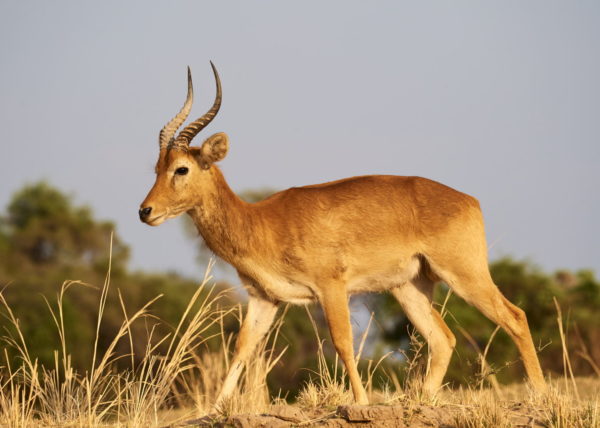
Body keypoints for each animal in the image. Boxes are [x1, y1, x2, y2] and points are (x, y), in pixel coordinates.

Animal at [141, 62, 548, 404]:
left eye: (181, 168)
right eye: (156, 167)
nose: (145, 211)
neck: (261, 222)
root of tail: (469, 200)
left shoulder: (330, 287)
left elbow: (342, 343)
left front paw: (361, 403)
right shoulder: (264, 298)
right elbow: (241, 348)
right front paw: (216, 408)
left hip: (465, 274)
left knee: (515, 317)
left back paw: (540, 395)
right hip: (409, 287)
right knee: (443, 339)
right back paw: (422, 400)